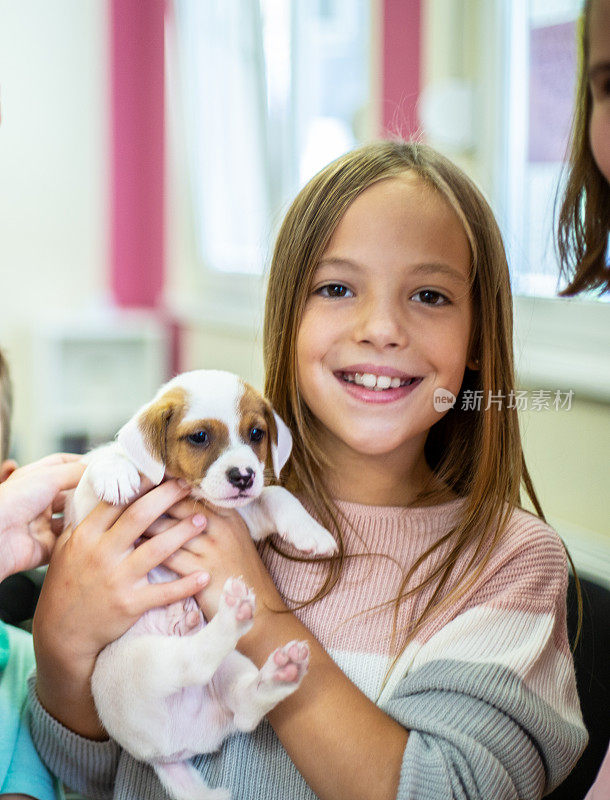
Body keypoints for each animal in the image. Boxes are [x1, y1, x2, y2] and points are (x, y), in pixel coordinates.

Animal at [72, 368, 338, 800]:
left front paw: (311, 532)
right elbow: (99, 460)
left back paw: (280, 669)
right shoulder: (86, 514)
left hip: (226, 670)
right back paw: (230, 618)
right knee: (190, 663)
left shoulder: (245, 515)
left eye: (256, 433)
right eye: (199, 436)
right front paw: (116, 471)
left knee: (242, 707)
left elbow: (277, 495)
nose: (244, 476)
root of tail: (168, 755)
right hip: (138, 664)